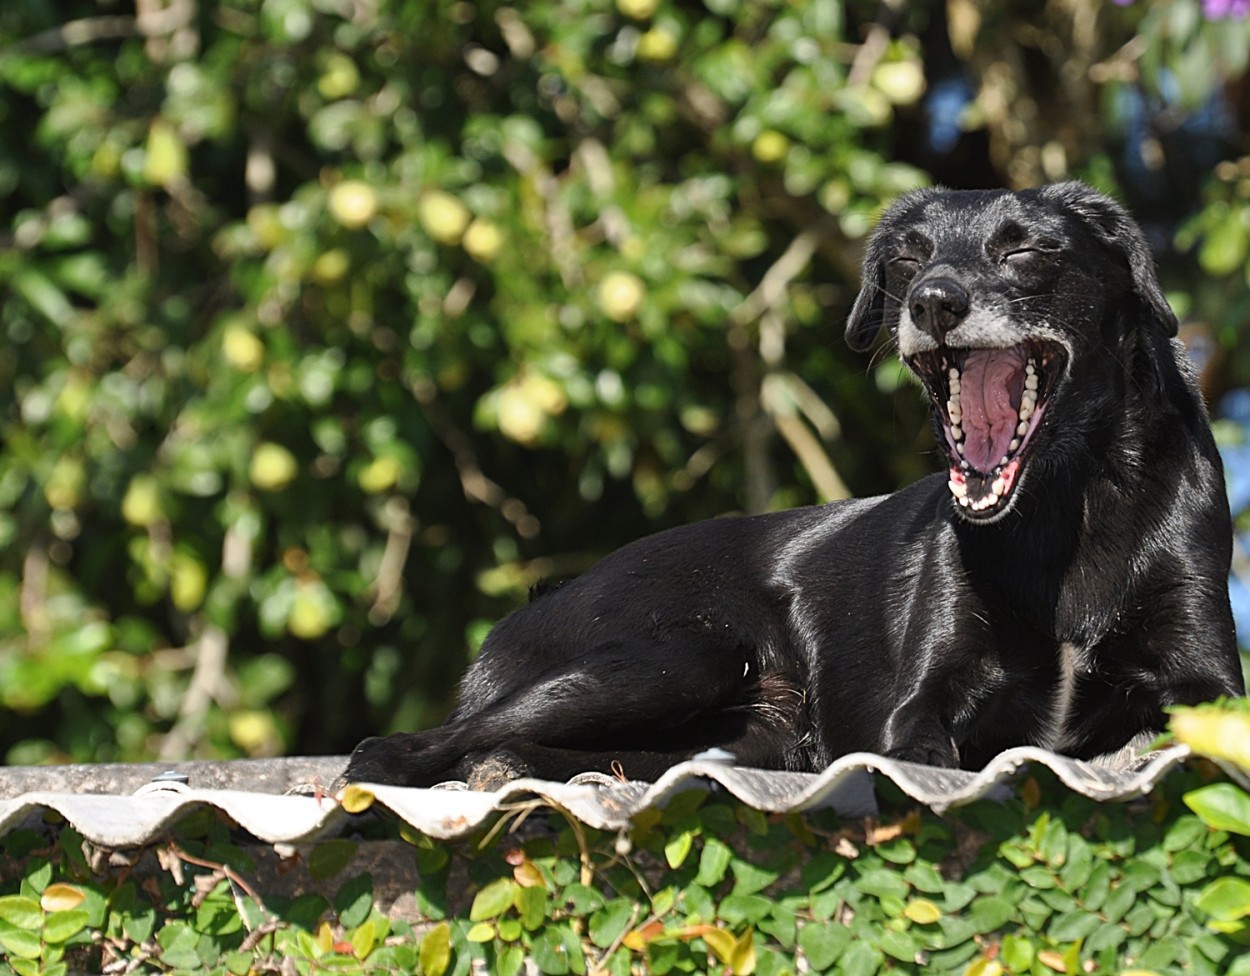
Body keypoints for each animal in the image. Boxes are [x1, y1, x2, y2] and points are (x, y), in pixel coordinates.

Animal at [342, 182, 1240, 789]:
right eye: (908, 256)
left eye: (1026, 251)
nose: (931, 303)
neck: (1062, 507)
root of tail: (515, 620)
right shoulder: (914, 706)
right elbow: (923, 747)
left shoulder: (1208, 683)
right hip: (685, 653)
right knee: (400, 744)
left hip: (750, 729)